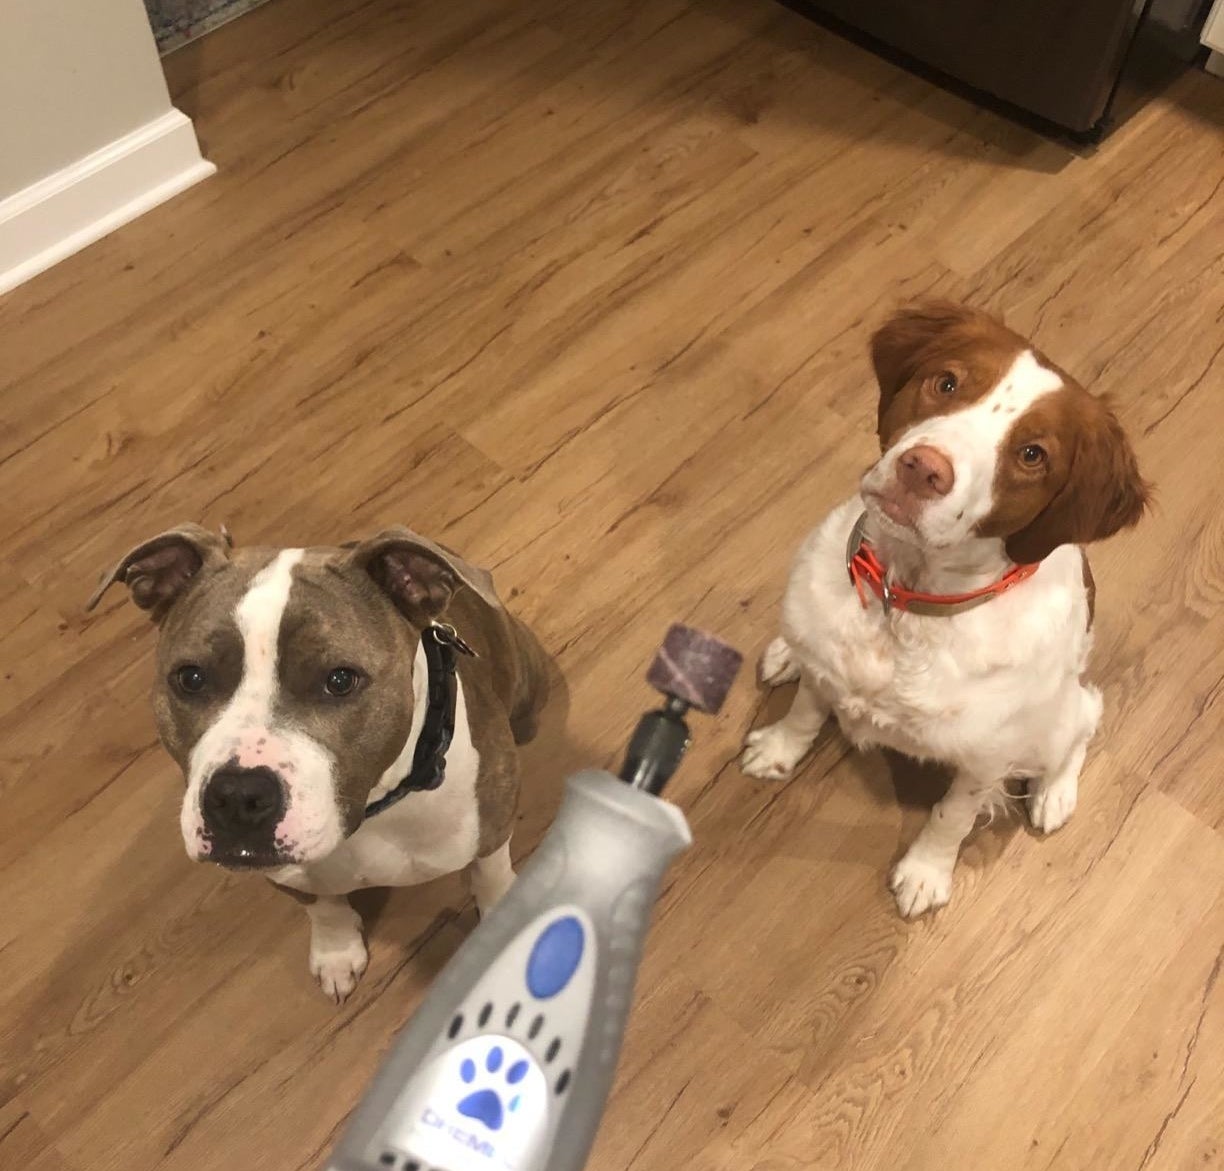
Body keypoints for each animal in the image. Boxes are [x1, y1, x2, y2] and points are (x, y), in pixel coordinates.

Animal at [94, 526, 550, 998]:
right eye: (190, 678)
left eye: (341, 680)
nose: (238, 796)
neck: (373, 810)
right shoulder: (286, 873)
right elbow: (322, 907)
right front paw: (336, 952)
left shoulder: (492, 829)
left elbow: (491, 876)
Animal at [739, 305, 1150, 920]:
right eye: (947, 383)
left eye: (1033, 455)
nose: (922, 469)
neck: (902, 603)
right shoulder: (827, 663)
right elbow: (807, 710)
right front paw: (778, 750)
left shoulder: (985, 760)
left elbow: (951, 816)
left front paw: (925, 874)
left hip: (1056, 719)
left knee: (1082, 722)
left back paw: (1054, 793)